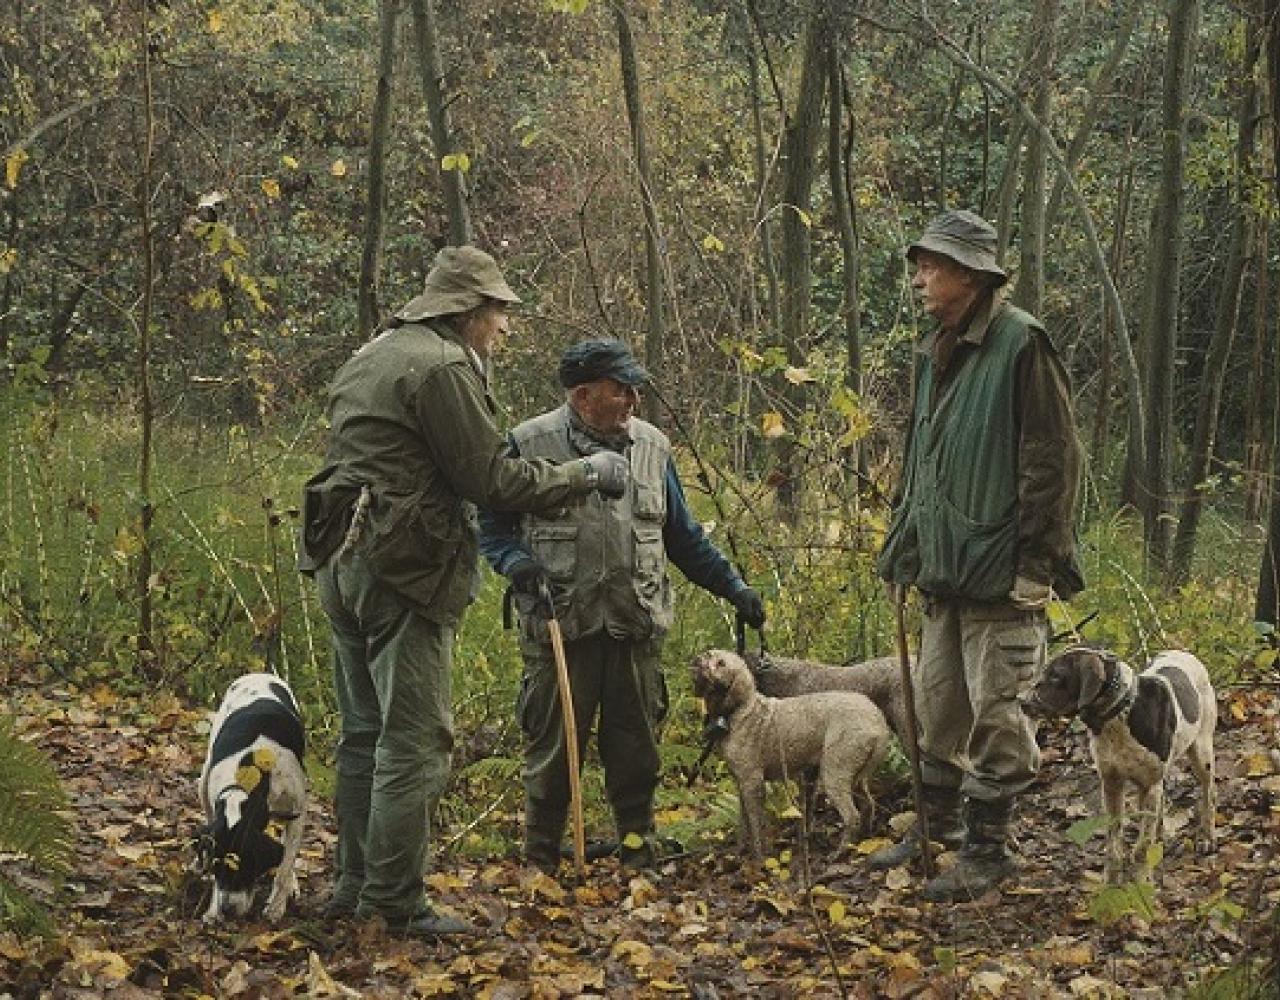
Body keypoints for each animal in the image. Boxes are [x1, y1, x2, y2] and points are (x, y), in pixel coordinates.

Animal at [197, 670, 307, 921]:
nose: (227, 909)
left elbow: (285, 867)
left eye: (246, 867)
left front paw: (276, 907)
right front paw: (213, 909)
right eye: (216, 867)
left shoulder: (297, 813)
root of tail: (259, 673)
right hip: (203, 780)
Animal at [691, 647, 890, 860]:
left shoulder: (752, 782)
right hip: (857, 774)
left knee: (852, 816)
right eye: (709, 653)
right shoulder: (740, 782)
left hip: (835, 772)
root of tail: (878, 721)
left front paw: (759, 858)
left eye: (721, 663)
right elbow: (743, 824)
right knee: (868, 804)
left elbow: (756, 825)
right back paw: (864, 840)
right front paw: (739, 852)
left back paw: (838, 853)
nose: (698, 659)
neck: (737, 710)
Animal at [1018, 647, 1218, 880]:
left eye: (1056, 677)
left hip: (1201, 753)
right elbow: (1113, 841)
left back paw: (1208, 837)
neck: (1119, 716)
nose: (1020, 700)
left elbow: (1141, 847)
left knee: (1209, 794)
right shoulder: (1112, 784)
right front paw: (1111, 880)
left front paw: (1141, 880)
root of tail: (1185, 653)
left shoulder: (1150, 785)